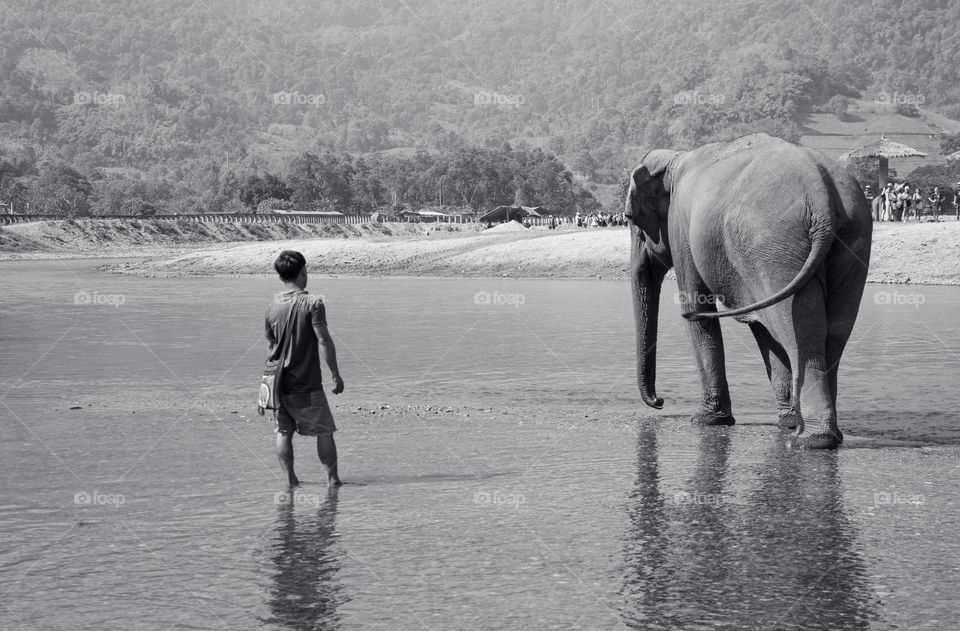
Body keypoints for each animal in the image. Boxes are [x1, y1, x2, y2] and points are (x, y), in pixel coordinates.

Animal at [626, 133, 872, 449]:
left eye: (631, 219)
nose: (660, 401)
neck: (675, 158)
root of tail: (822, 196)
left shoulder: (681, 227)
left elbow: (698, 307)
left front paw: (705, 421)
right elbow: (762, 328)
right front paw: (786, 422)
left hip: (774, 247)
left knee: (800, 331)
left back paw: (810, 440)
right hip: (849, 242)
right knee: (833, 331)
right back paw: (817, 433)